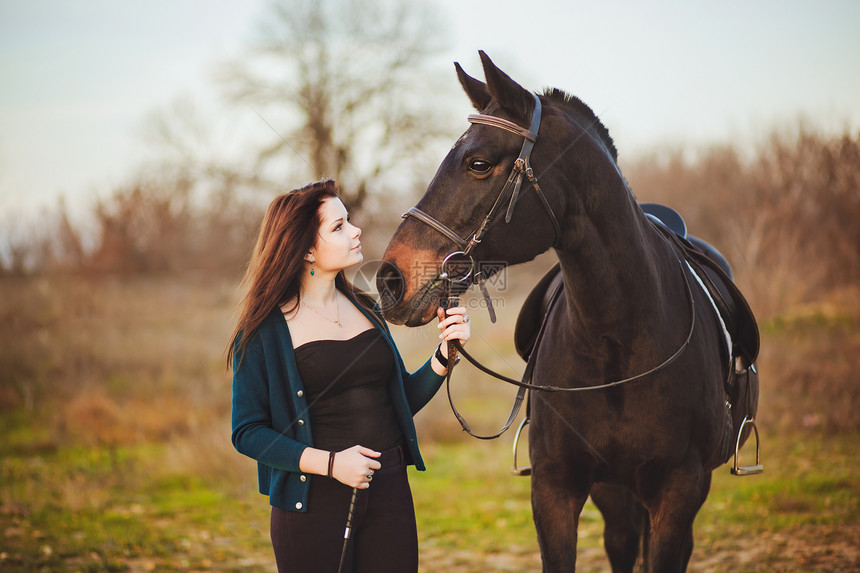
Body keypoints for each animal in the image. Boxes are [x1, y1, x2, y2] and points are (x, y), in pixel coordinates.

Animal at [376, 51, 760, 568]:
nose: (390, 279)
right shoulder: (555, 489)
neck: (619, 338)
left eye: (478, 163)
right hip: (612, 489)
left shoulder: (679, 491)